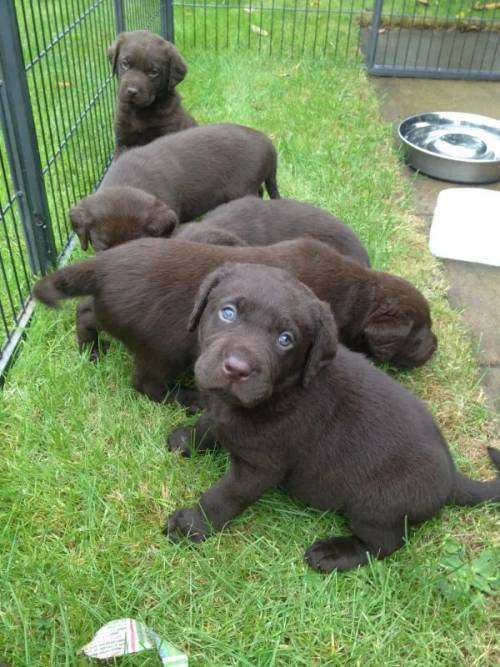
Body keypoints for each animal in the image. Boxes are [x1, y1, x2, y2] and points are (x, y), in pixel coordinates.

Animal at [165, 264, 500, 572]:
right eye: (228, 313)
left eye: (286, 339)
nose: (237, 368)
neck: (283, 391)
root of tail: (452, 478)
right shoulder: (219, 409)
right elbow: (207, 425)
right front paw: (186, 441)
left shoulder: (260, 468)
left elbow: (224, 496)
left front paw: (191, 525)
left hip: (375, 507)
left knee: (385, 545)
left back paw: (334, 554)